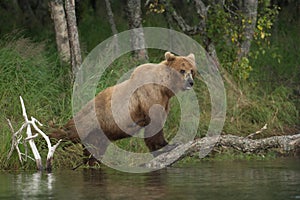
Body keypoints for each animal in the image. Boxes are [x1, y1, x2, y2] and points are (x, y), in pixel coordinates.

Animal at [49, 52, 197, 165]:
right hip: (90, 122)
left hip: (98, 135)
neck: (164, 87)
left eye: (192, 70)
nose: (190, 82)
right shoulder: (149, 95)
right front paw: (168, 145)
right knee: (67, 133)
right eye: (182, 70)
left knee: (93, 152)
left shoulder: (164, 101)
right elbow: (155, 124)